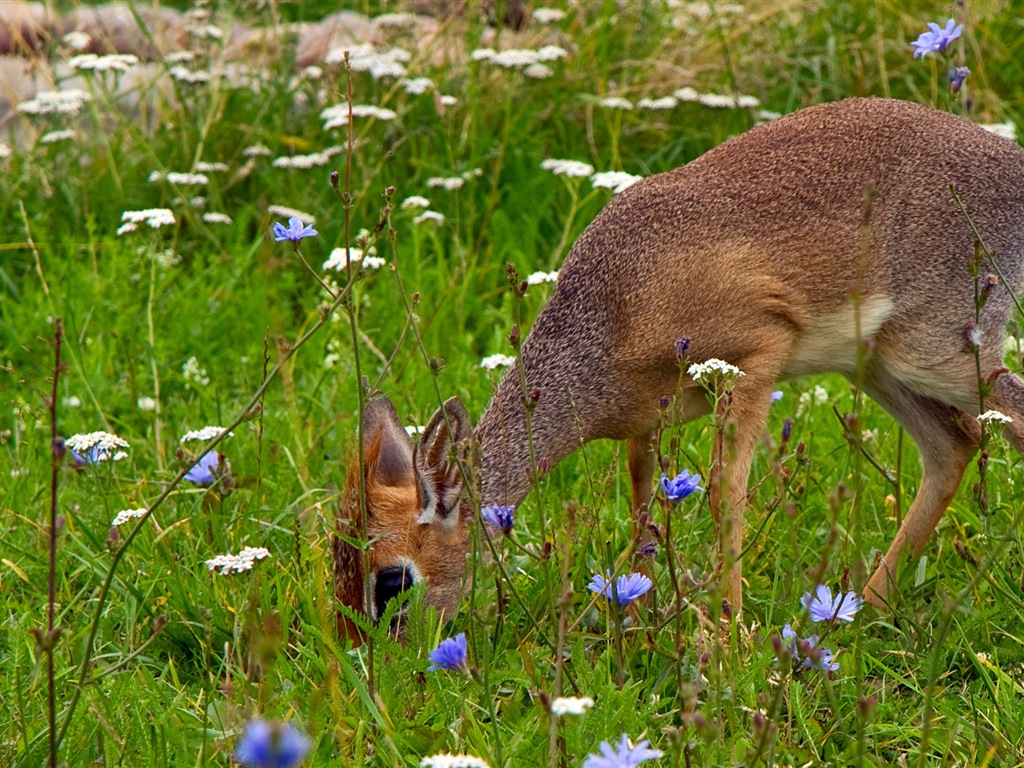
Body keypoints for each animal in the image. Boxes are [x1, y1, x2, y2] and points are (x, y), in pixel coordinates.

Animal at [334, 97, 1024, 634]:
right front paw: (635, 616)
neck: (612, 313)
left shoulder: (755, 357)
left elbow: (726, 492)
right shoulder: (646, 424)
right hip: (877, 365)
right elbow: (644, 505)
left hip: (937, 353)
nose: (385, 669)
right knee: (954, 446)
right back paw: (861, 611)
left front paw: (731, 634)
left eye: (392, 579)